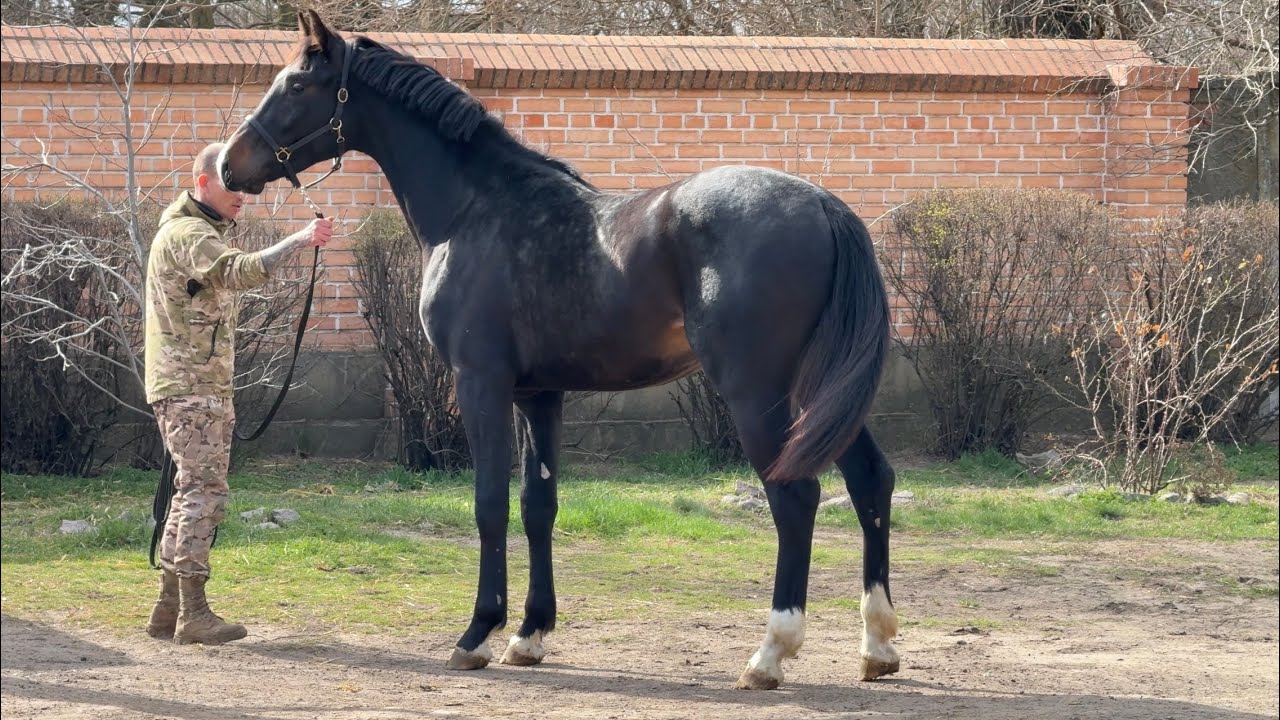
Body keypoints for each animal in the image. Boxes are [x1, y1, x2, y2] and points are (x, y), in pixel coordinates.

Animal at [221, 10, 900, 690]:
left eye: (296, 85)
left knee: (795, 496)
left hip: (758, 391)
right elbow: (538, 503)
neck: (475, 209)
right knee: (870, 481)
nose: (228, 166)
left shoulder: (480, 382)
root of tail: (822, 204)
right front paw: (529, 634)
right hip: (819, 394)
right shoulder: (538, 394)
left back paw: (769, 654)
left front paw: (477, 633)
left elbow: (490, 504)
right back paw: (877, 646)